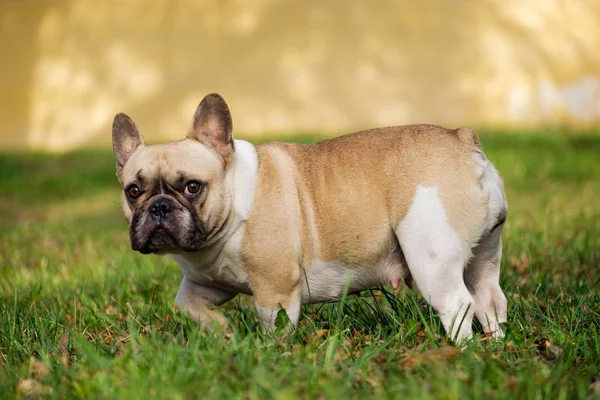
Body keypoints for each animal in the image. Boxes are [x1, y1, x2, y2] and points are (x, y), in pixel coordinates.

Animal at [111, 93, 506, 340]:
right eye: (134, 191)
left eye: (193, 187)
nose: (159, 206)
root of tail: (462, 140)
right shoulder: (205, 283)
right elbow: (187, 306)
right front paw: (223, 333)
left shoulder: (276, 290)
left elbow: (275, 326)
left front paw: (271, 353)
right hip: (484, 252)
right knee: (489, 299)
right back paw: (494, 345)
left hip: (430, 256)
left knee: (458, 304)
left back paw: (459, 349)